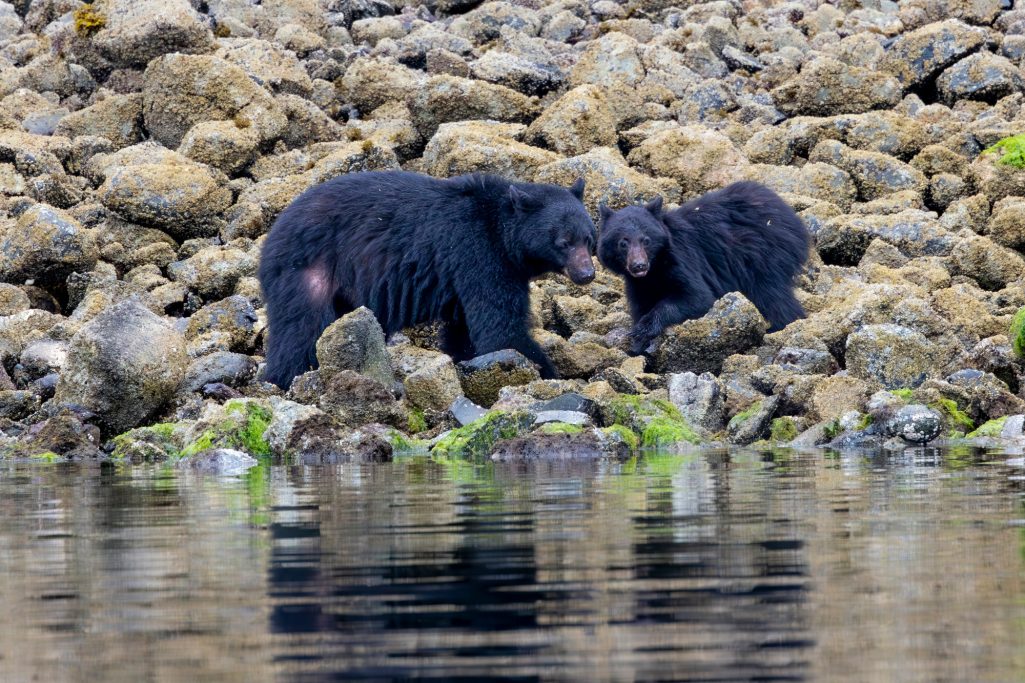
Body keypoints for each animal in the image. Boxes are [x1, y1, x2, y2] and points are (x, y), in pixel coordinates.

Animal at [256, 169, 598, 387]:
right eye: (564, 242)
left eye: (589, 238)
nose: (586, 274)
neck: (502, 231)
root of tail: (272, 233)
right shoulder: (478, 253)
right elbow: (500, 329)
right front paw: (550, 374)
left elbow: (465, 332)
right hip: (307, 269)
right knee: (300, 330)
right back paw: (286, 377)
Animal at [598, 178, 807, 352]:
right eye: (623, 243)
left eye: (646, 240)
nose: (639, 266)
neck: (655, 270)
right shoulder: (638, 284)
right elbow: (640, 306)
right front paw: (637, 345)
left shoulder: (682, 259)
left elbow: (697, 297)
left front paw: (644, 328)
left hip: (764, 256)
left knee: (772, 296)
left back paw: (780, 326)